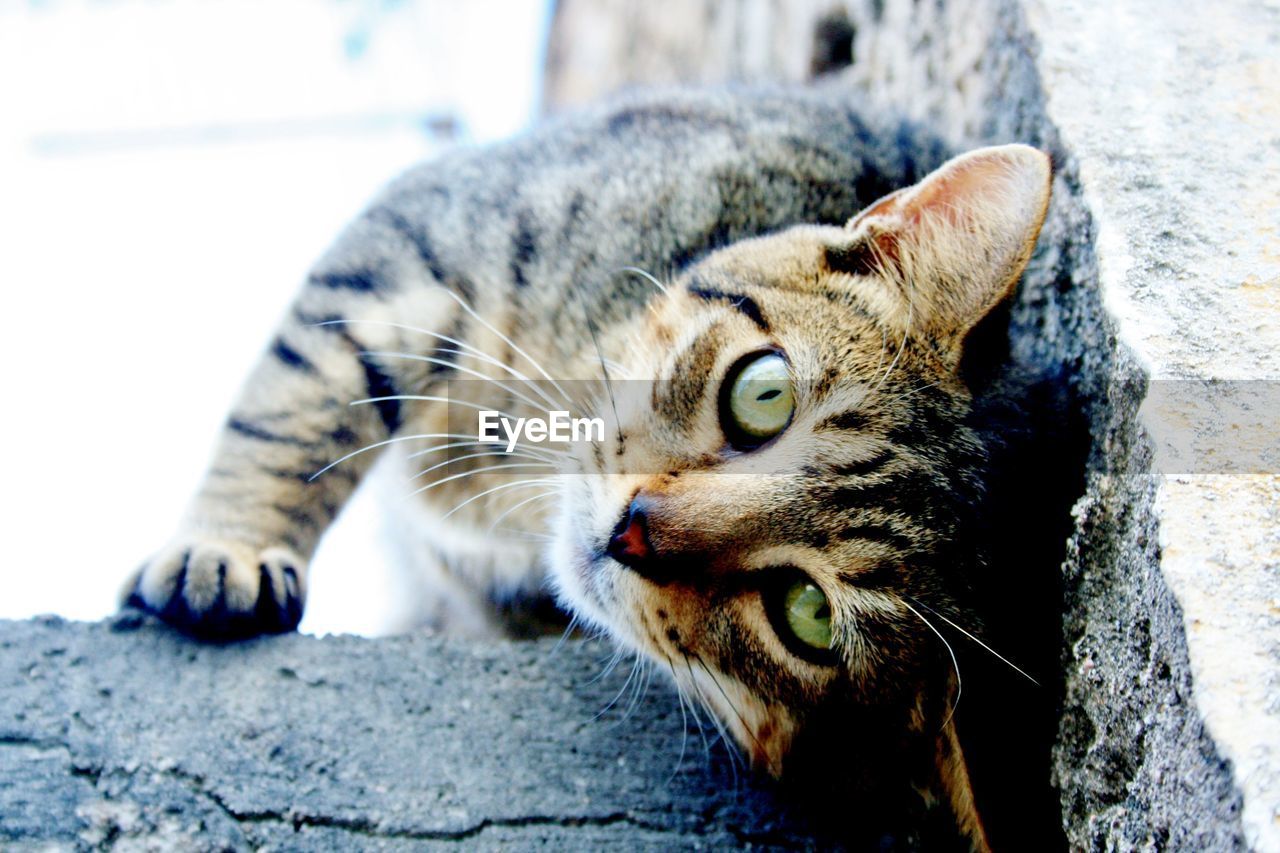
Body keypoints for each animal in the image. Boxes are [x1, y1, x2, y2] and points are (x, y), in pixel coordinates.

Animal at [124, 86, 1049, 845]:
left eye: (807, 614)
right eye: (763, 392)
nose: (633, 532)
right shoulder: (428, 239)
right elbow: (301, 395)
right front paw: (231, 548)